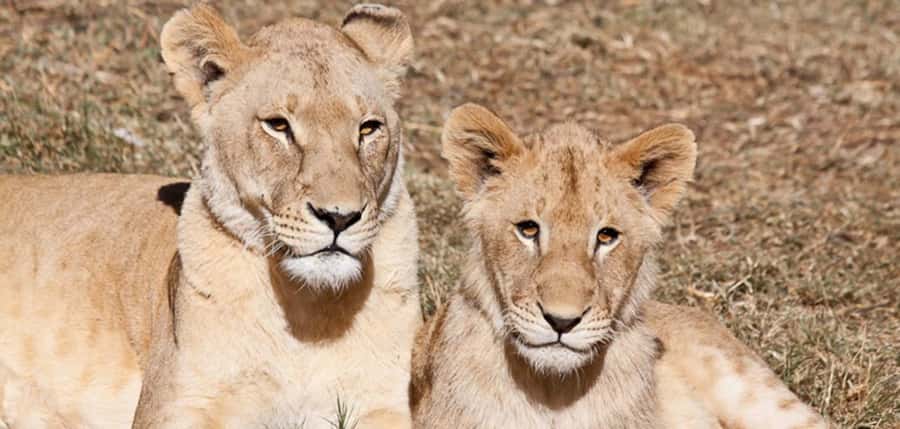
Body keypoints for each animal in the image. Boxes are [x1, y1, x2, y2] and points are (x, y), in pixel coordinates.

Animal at [0, 4, 418, 428]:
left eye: (368, 128)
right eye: (278, 125)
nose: (339, 217)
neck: (309, 312)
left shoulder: (385, 402)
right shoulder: (175, 404)